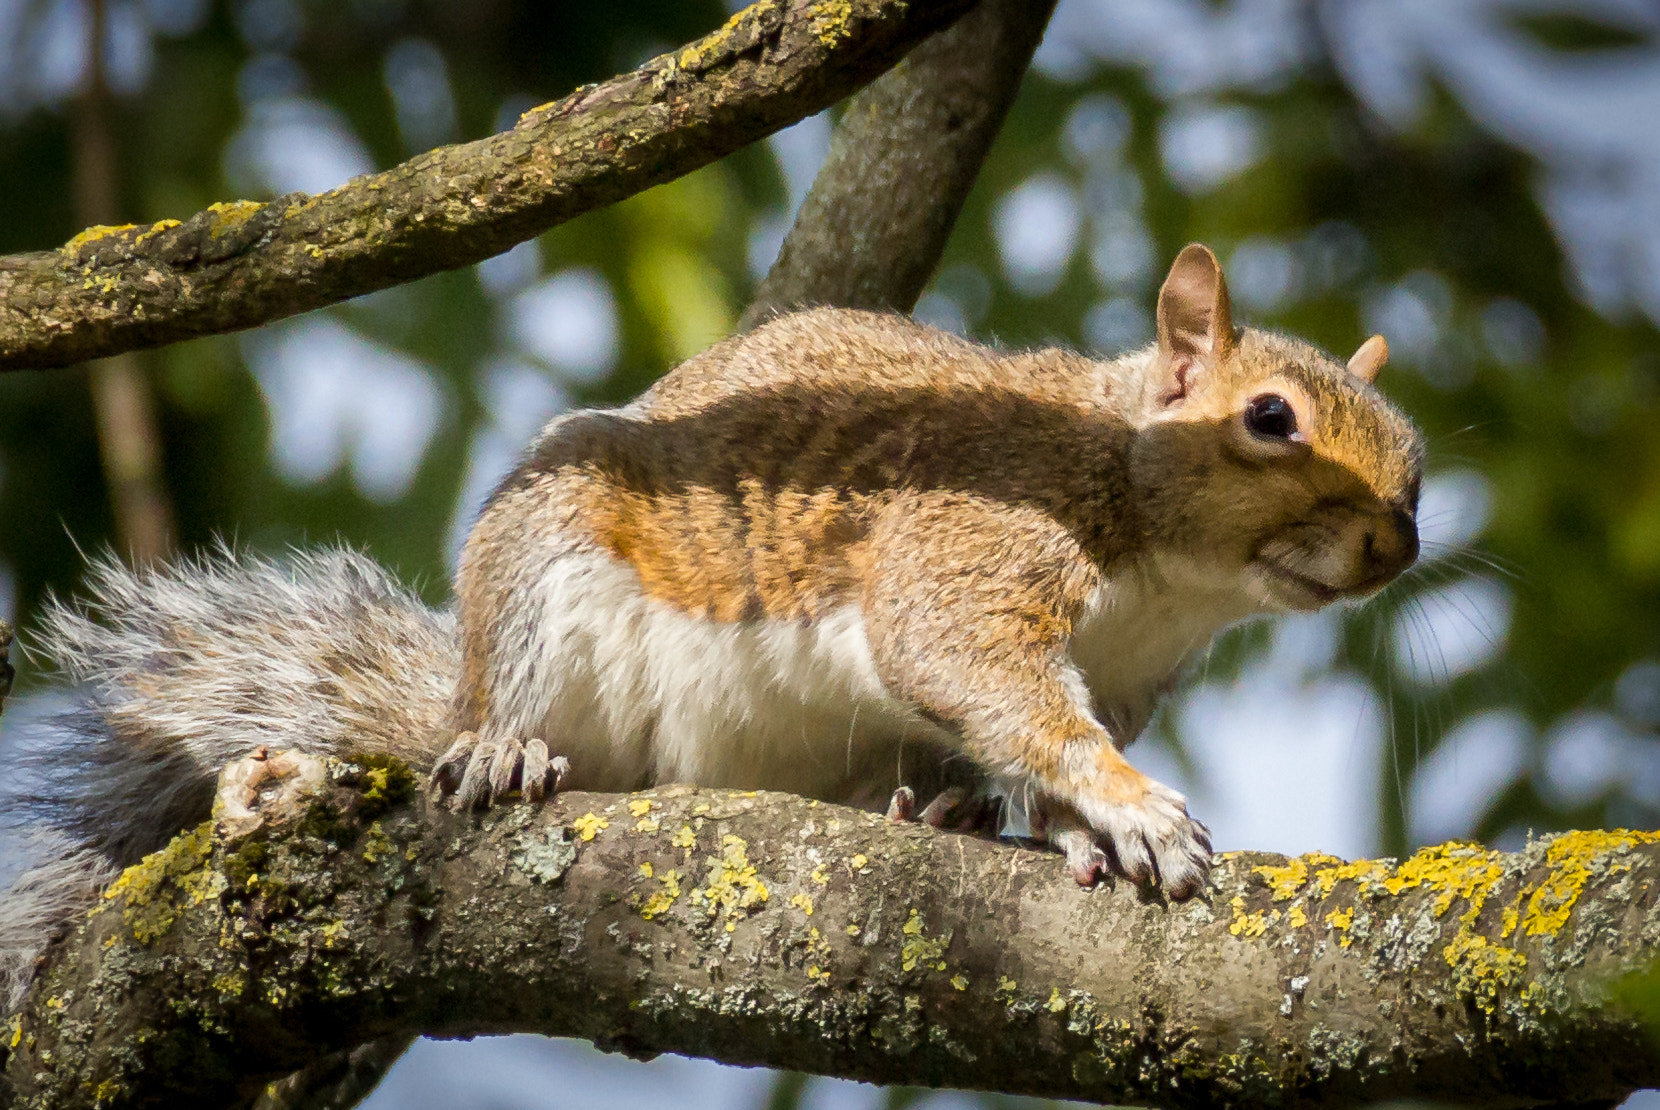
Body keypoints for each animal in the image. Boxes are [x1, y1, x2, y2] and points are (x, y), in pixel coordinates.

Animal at [0, 243, 1422, 1014]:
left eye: (1412, 463)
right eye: (1271, 420)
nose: (1396, 546)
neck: (1170, 572)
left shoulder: (1127, 671)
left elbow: (1032, 731)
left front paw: (1073, 827)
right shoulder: (965, 547)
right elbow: (972, 667)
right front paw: (1131, 810)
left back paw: (937, 809)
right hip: (548, 574)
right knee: (515, 704)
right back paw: (504, 747)